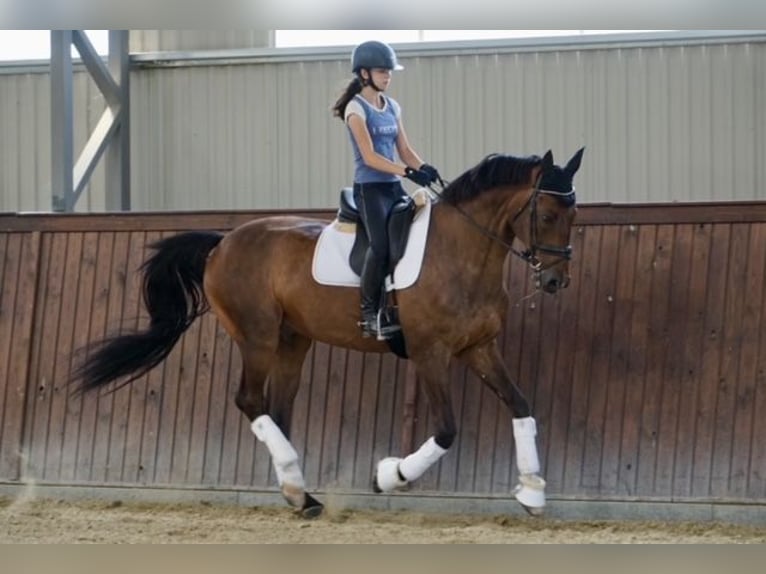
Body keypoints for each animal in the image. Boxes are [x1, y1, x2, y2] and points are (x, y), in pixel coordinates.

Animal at [75, 148, 584, 520]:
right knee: (250, 401)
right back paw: (300, 492)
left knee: (277, 410)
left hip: (292, 341)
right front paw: (388, 476)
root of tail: (222, 242)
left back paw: (300, 494)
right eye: (547, 214)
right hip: (258, 337)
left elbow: (520, 405)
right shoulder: (430, 353)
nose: (555, 281)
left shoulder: (479, 348)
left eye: (574, 214)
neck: (462, 253)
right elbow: (445, 431)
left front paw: (533, 493)